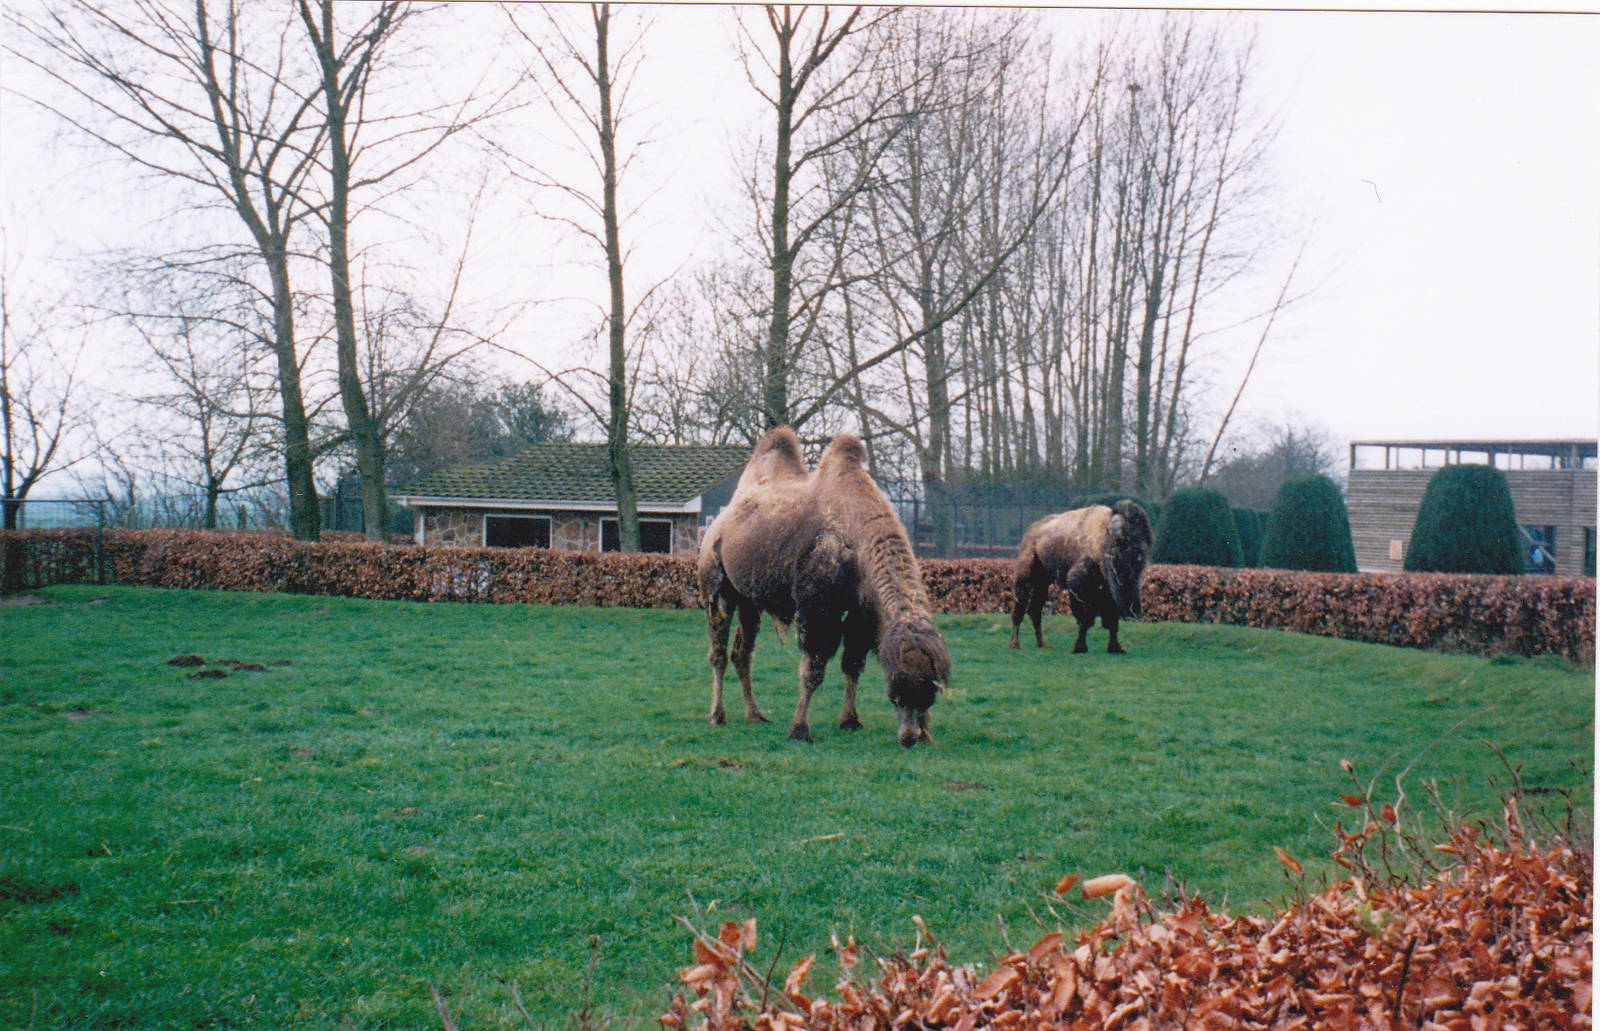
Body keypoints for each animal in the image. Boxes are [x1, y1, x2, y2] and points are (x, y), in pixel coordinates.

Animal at [698, 427, 950, 747]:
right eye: (894, 691)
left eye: (931, 693)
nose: (911, 737)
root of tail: (718, 522)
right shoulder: (817, 607)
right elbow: (814, 669)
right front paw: (800, 728)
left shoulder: (862, 611)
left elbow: (853, 664)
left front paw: (850, 720)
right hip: (716, 584)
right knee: (718, 651)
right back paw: (717, 716)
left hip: (749, 599)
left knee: (742, 653)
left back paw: (754, 714)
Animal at [1008, 500, 1154, 654]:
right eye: (1118, 553)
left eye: (1141, 558)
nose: (1133, 610)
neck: (1103, 540)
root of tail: (1030, 534)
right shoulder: (1077, 586)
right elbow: (1085, 620)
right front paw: (1080, 647)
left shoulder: (1107, 593)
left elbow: (1111, 621)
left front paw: (1115, 647)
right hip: (1025, 578)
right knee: (1019, 609)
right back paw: (1015, 644)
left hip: (1042, 583)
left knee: (1035, 610)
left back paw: (1042, 643)